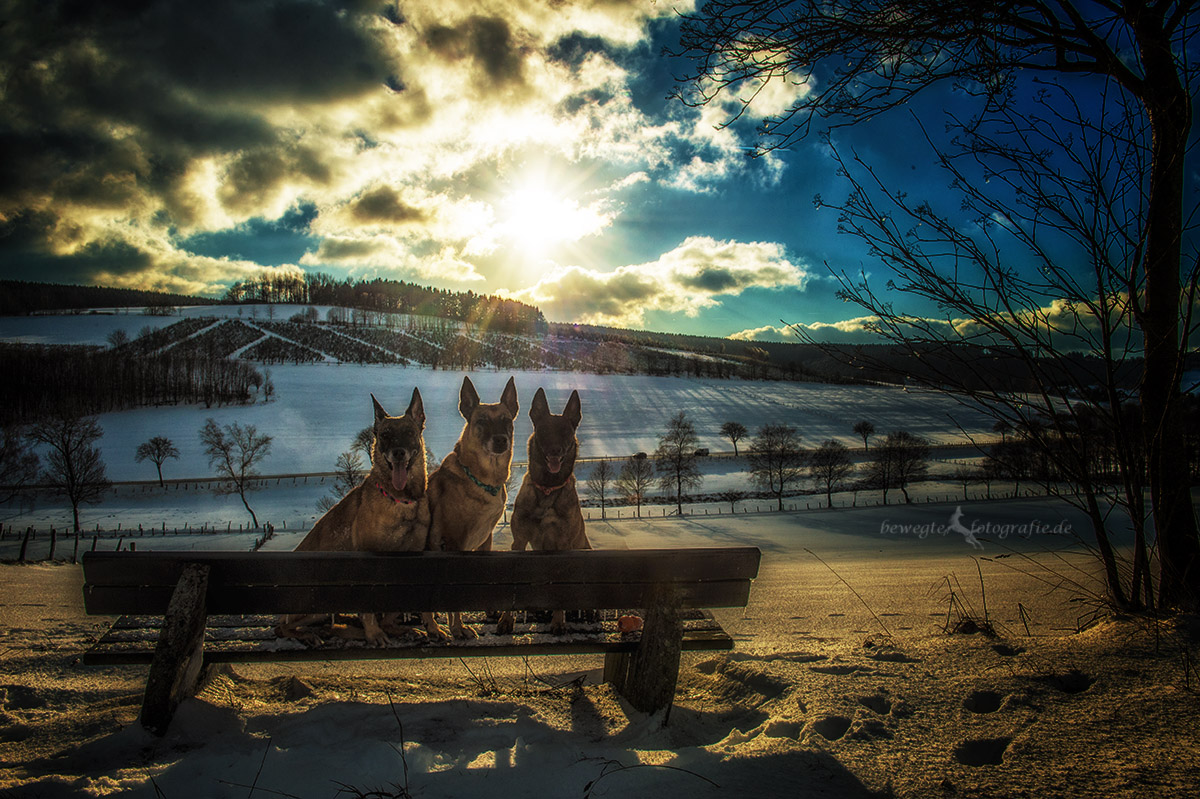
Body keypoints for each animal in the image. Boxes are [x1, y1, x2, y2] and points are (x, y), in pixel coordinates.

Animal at [276, 388, 436, 643]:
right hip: (320, 600)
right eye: (385, 435)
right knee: (284, 627)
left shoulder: (415, 554)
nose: (398, 454)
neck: (400, 499)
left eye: (409, 433)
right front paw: (374, 634)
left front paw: (432, 627)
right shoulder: (366, 557)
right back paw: (311, 635)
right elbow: (368, 606)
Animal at [424, 374, 518, 643]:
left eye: (506, 420)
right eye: (482, 421)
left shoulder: (485, 539)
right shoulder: (453, 543)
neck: (481, 480)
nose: (501, 440)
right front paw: (458, 628)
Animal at [496, 386, 590, 633]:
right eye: (545, 430)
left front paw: (558, 621)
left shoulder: (563, 546)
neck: (548, 488)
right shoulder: (519, 542)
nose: (556, 450)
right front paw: (506, 620)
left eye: (566, 432)